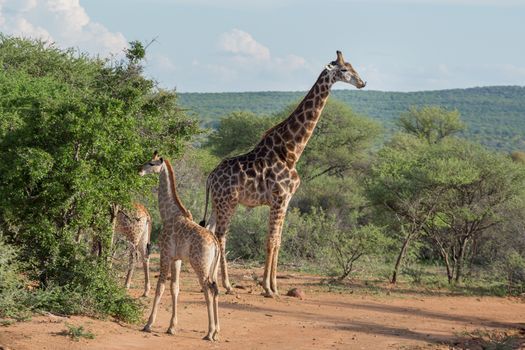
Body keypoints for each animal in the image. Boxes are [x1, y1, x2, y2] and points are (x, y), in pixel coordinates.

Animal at [139, 151, 219, 342]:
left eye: (151, 163)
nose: (139, 170)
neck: (168, 214)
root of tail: (215, 243)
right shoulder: (177, 259)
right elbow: (174, 288)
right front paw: (171, 327)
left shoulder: (165, 253)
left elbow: (160, 286)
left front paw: (148, 324)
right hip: (213, 267)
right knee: (215, 289)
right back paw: (216, 331)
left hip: (200, 265)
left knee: (208, 290)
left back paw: (209, 333)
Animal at [199, 50, 366, 296]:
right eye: (344, 69)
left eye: (354, 67)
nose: (363, 83)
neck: (291, 151)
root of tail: (210, 177)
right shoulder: (279, 198)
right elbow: (271, 241)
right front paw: (267, 288)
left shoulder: (286, 200)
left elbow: (278, 241)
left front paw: (275, 287)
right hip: (228, 202)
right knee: (221, 235)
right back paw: (227, 285)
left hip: (218, 203)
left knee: (211, 231)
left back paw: (213, 281)